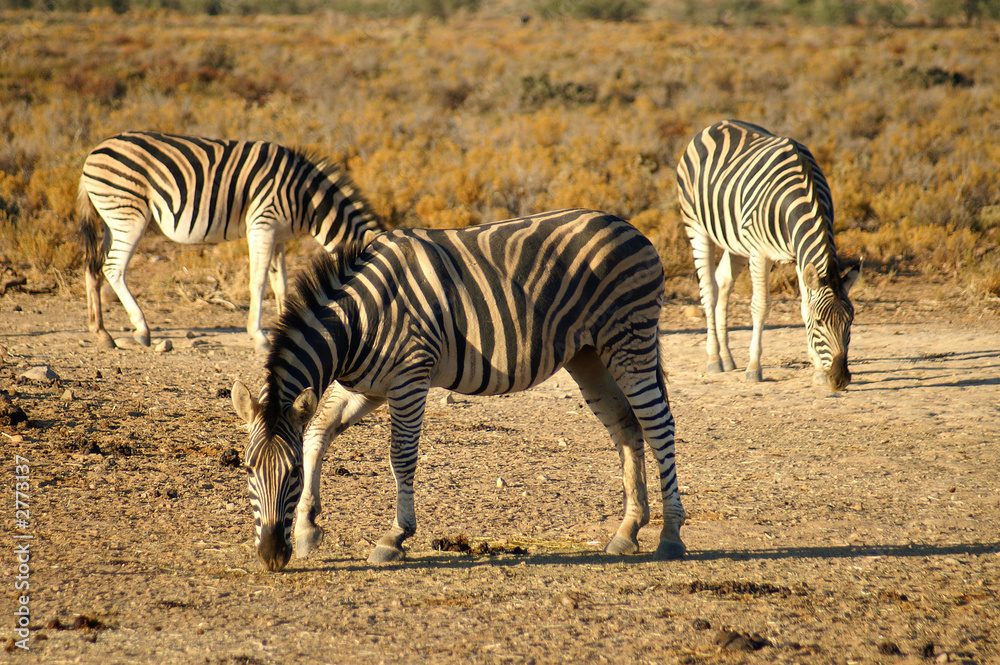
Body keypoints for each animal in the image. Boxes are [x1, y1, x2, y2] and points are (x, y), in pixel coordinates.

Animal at [78, 131, 384, 354]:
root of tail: (93, 152)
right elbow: (259, 282)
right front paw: (259, 336)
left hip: (111, 219)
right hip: (129, 214)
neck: (306, 198)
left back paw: (101, 332)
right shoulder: (263, 225)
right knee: (113, 269)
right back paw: (141, 329)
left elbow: (281, 285)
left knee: (93, 266)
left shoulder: (280, 238)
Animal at [230, 208, 687, 572]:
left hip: (628, 340)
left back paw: (671, 536)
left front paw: (394, 537)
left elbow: (401, 457)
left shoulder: (409, 378)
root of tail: (629, 227)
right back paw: (628, 531)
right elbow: (317, 433)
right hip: (589, 355)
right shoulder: (366, 387)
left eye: (290, 473)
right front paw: (307, 527)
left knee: (658, 425)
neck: (357, 322)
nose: (271, 557)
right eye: (248, 469)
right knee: (627, 427)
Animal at [676, 120, 860, 391]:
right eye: (820, 323)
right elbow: (760, 307)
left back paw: (727, 357)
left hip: (735, 242)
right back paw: (714, 359)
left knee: (723, 281)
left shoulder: (799, 256)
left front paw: (817, 369)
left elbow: (804, 306)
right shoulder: (760, 253)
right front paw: (754, 368)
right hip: (696, 226)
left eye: (850, 322)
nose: (840, 379)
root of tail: (716, 124)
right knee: (708, 290)